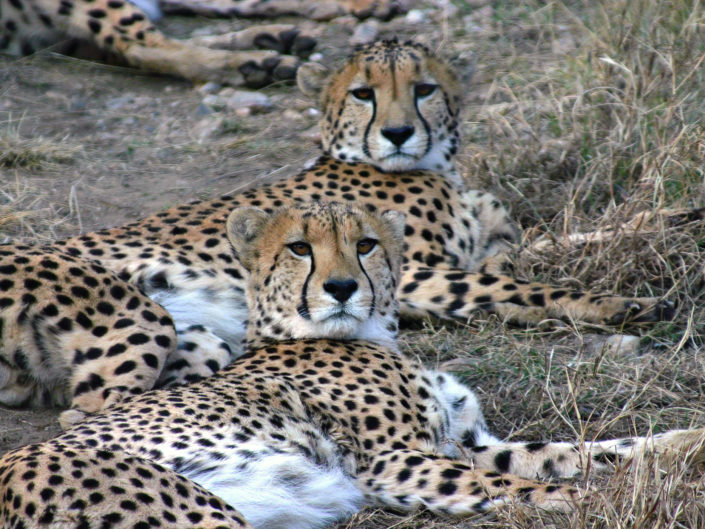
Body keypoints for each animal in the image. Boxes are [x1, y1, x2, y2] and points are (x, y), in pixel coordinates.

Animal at [0, 39, 675, 420]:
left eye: (424, 89)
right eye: (361, 94)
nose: (399, 133)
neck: (436, 167)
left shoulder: (479, 250)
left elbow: (548, 247)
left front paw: (664, 220)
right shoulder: (413, 275)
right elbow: (519, 286)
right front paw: (620, 303)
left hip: (199, 340)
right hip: (137, 312)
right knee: (88, 413)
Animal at [1, 202, 703, 529]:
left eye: (365, 244)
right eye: (298, 249)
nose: (340, 287)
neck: (373, 335)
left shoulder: (471, 441)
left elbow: (588, 450)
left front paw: (685, 443)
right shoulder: (393, 462)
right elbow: (537, 487)